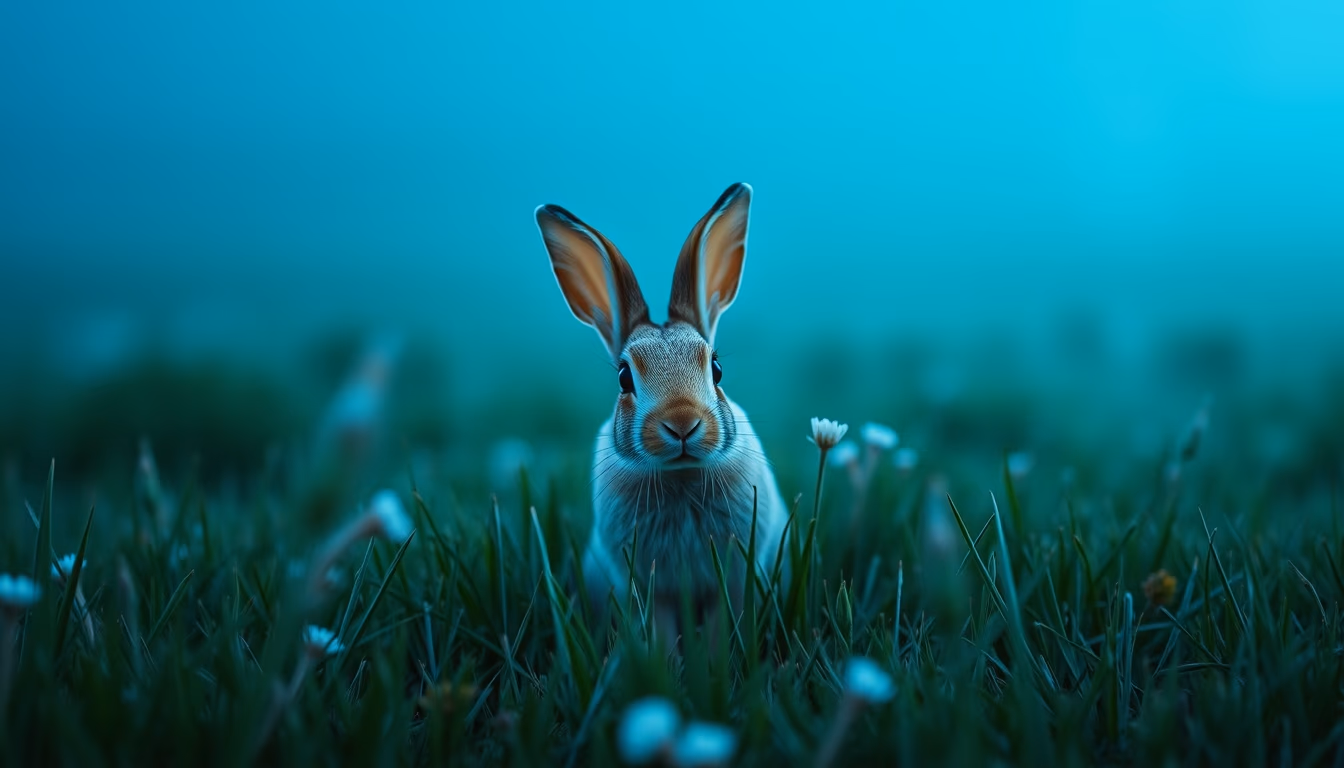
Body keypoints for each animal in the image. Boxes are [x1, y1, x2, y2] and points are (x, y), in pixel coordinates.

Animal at [534, 182, 787, 648]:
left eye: (716, 368)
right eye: (624, 378)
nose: (682, 424)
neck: (680, 475)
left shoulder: (735, 575)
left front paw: (714, 657)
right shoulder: (647, 585)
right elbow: (662, 628)